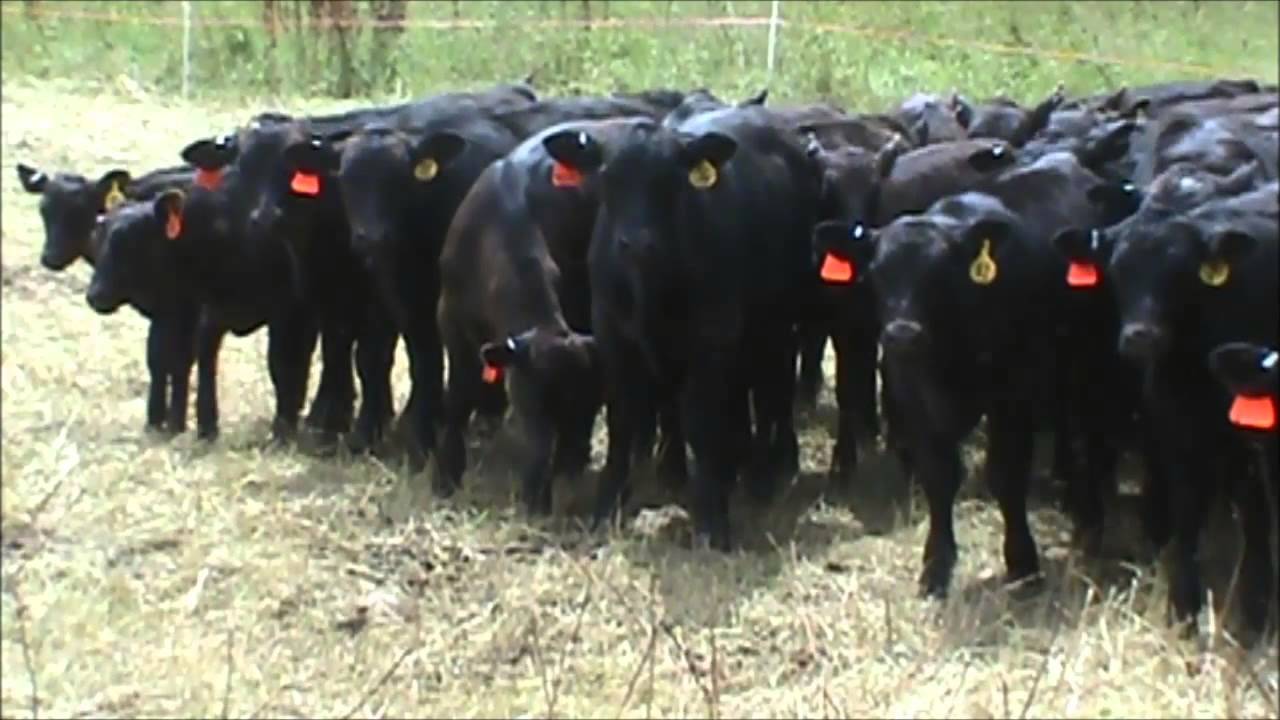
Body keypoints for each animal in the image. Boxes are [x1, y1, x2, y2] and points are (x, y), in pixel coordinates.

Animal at [542, 105, 822, 549]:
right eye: (608, 179)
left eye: (671, 182)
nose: (637, 242)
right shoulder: (614, 338)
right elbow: (623, 421)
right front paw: (606, 509)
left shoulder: (712, 339)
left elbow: (702, 422)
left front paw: (712, 521)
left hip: (776, 323)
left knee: (770, 393)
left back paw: (762, 476)